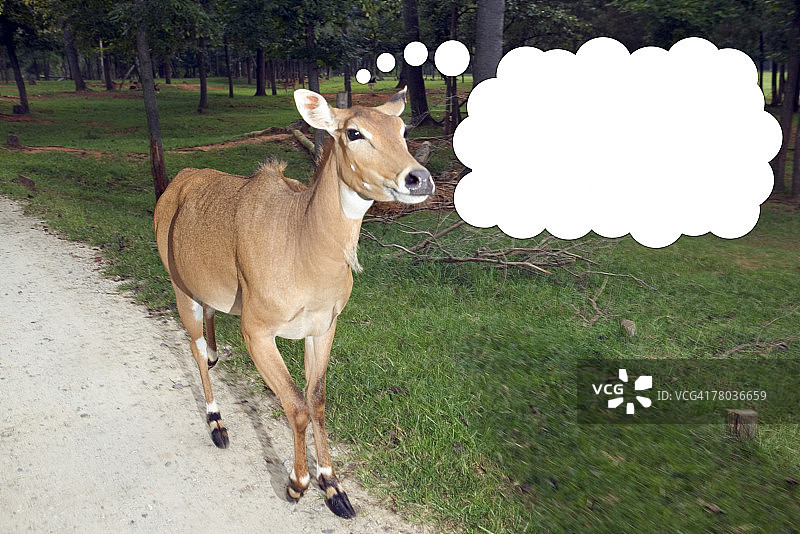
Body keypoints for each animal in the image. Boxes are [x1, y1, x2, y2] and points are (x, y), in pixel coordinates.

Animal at [153, 88, 433, 518]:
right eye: (353, 132)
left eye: (402, 129)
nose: (418, 178)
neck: (304, 249)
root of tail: (176, 183)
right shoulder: (257, 329)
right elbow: (296, 405)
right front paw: (297, 483)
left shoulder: (324, 326)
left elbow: (316, 401)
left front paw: (334, 487)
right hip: (180, 286)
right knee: (195, 347)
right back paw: (217, 423)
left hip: (206, 291)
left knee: (209, 329)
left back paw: (217, 357)